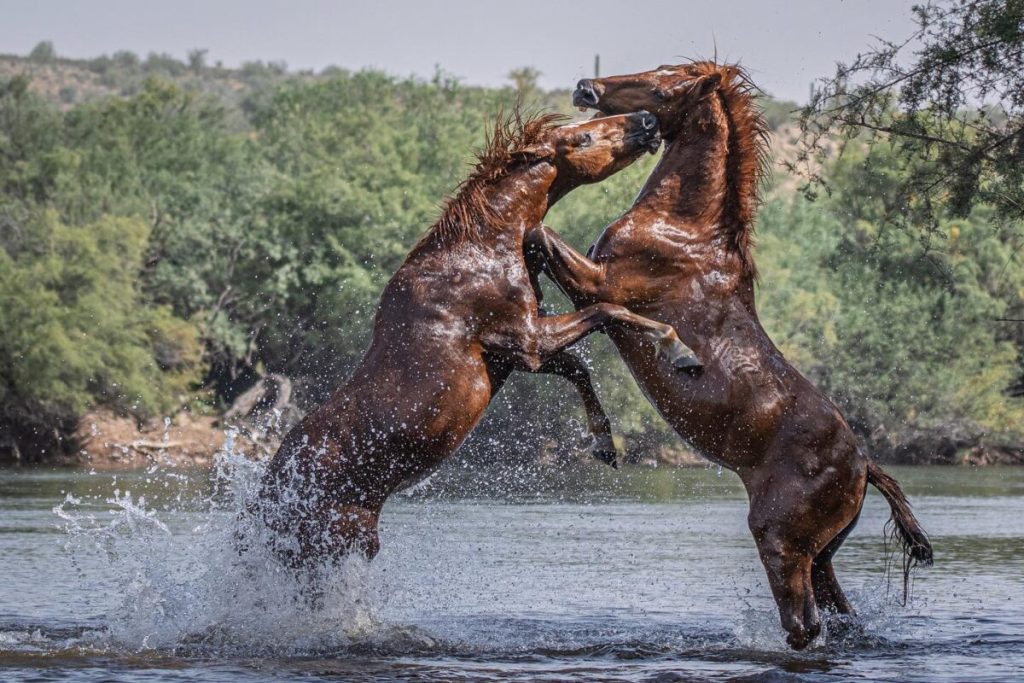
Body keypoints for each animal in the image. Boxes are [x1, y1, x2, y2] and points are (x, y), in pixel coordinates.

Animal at [260, 108, 700, 565]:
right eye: (584, 138)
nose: (646, 120)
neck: (487, 247)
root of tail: (267, 501)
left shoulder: (516, 353)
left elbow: (578, 366)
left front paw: (605, 445)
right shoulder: (526, 340)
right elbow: (608, 311)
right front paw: (679, 348)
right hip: (338, 541)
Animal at [528, 61, 937, 651]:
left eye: (663, 81)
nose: (587, 87)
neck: (684, 227)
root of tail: (864, 466)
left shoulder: (597, 281)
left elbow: (537, 235)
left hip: (781, 544)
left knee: (803, 625)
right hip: (821, 557)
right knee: (839, 616)